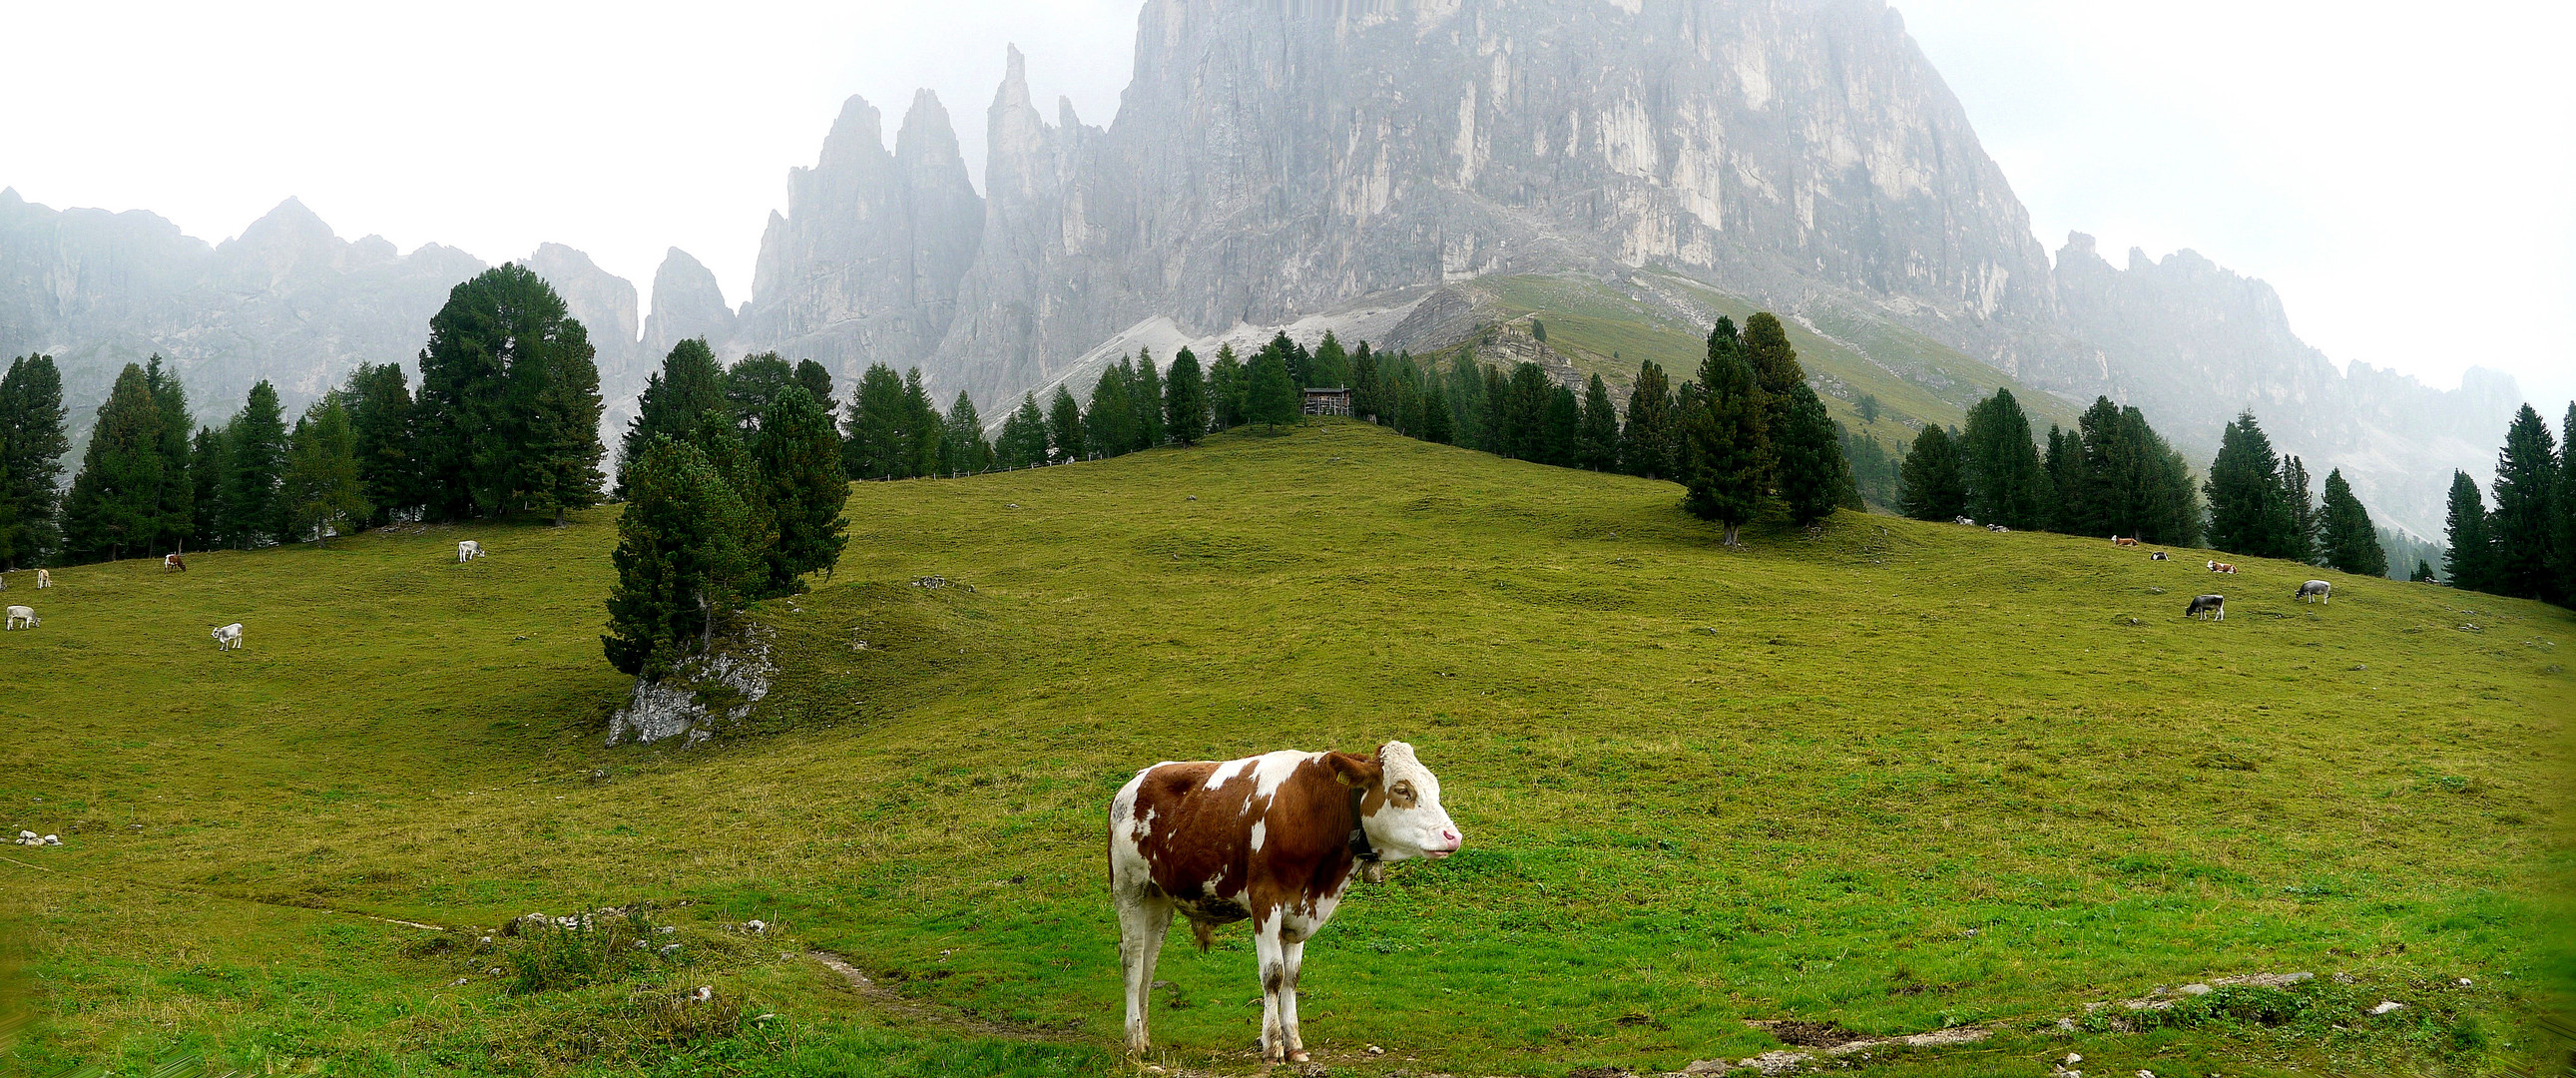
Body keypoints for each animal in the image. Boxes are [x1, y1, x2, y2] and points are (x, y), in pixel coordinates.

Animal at [1107, 743, 1463, 1062]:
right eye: (1403, 790)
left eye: (1434, 787)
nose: (1453, 836)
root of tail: (1137, 779)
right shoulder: (1266, 900)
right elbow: (1274, 975)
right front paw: (1273, 1046)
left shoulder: (1301, 908)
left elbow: (1292, 977)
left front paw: (1295, 1045)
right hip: (1129, 887)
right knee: (1133, 959)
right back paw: (1133, 1040)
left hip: (1159, 898)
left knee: (1149, 962)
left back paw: (1145, 1037)